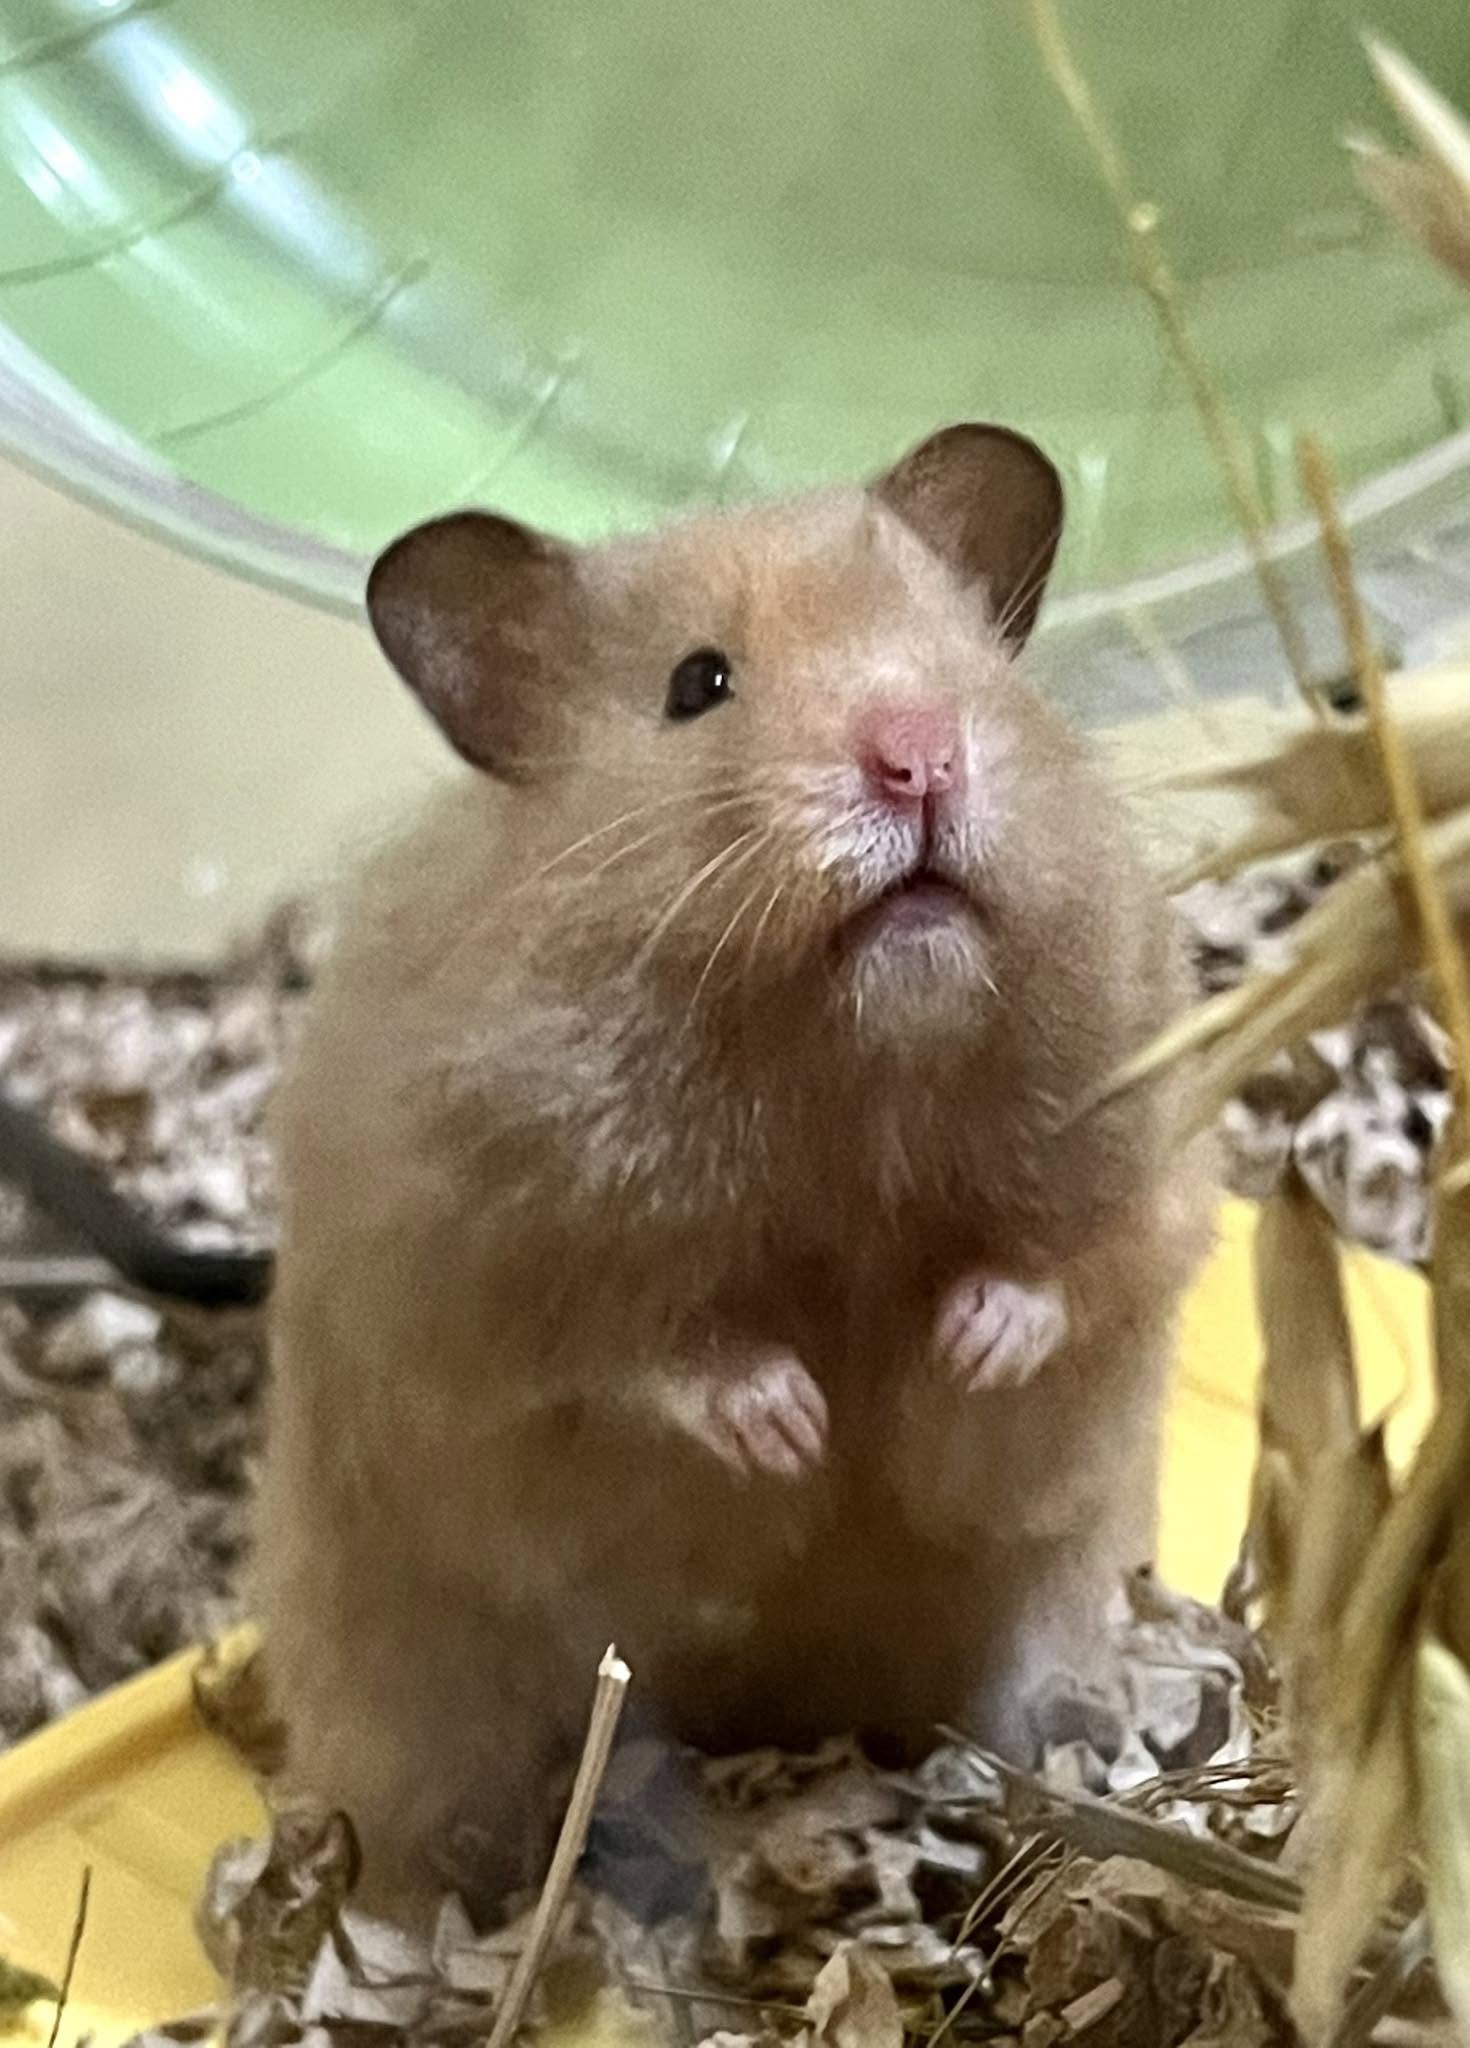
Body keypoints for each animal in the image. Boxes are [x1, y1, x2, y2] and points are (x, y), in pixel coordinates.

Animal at [253, 424, 1214, 1921]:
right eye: (697, 686)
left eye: (967, 660)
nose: (919, 760)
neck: (851, 1075)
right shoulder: (477, 1281)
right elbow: (636, 1359)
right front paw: (792, 1424)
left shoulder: (1149, 1157)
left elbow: (1073, 1276)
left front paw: (962, 1343)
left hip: (1051, 1612)